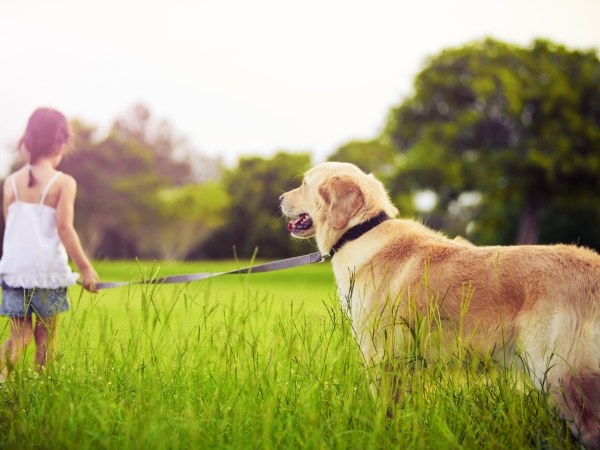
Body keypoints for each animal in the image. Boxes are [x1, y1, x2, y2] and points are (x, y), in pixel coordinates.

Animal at [278, 161, 600, 446]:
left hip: (559, 375)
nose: (279, 198)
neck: (360, 231)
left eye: (304, 183)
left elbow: (384, 412)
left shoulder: (380, 356)